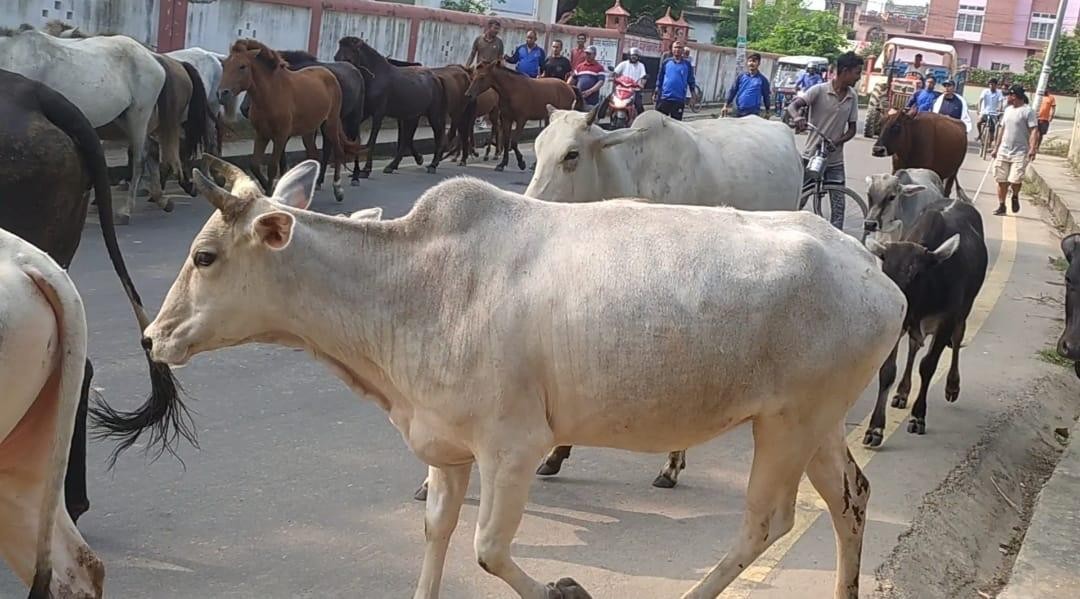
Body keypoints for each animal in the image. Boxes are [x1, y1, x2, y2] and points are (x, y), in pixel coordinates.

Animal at [0, 29, 167, 223]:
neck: (11, 55)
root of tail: (153, 57)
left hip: (139, 114)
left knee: (139, 159)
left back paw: (126, 211)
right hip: (123, 119)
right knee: (151, 148)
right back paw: (161, 199)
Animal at [219, 39, 358, 201]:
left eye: (242, 66)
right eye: (224, 65)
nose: (222, 93)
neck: (271, 93)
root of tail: (329, 74)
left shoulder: (280, 136)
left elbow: (273, 167)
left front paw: (271, 194)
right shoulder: (261, 135)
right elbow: (254, 164)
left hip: (330, 124)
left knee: (338, 151)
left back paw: (338, 189)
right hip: (308, 130)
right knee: (313, 155)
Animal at [332, 36, 442, 177]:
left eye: (349, 55)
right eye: (336, 56)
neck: (375, 76)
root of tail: (435, 77)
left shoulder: (378, 114)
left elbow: (372, 140)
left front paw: (366, 170)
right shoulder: (365, 112)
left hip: (433, 114)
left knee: (437, 135)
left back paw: (433, 164)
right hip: (411, 116)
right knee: (406, 139)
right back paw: (394, 165)